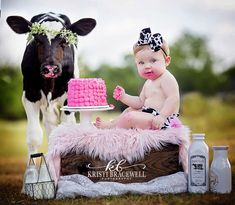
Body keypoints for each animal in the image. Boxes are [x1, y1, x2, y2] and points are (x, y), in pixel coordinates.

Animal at [6, 12, 96, 157]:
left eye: (64, 41)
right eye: (37, 40)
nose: (50, 68)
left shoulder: (68, 99)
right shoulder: (30, 94)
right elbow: (34, 137)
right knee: (50, 125)